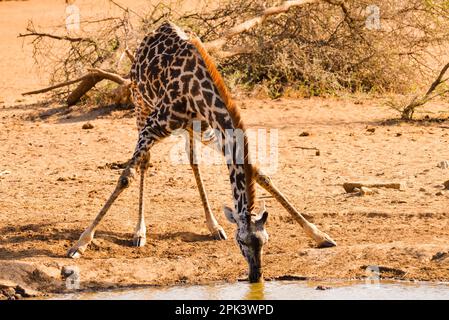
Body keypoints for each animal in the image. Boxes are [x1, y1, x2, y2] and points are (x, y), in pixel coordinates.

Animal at [65, 21, 332, 282]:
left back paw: (213, 226)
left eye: (265, 241)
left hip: (193, 130)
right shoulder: (153, 126)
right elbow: (125, 178)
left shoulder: (212, 130)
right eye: (242, 241)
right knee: (145, 162)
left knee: (192, 161)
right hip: (140, 105)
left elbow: (260, 173)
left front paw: (319, 235)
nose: (256, 275)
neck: (198, 93)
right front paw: (80, 244)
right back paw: (139, 232)